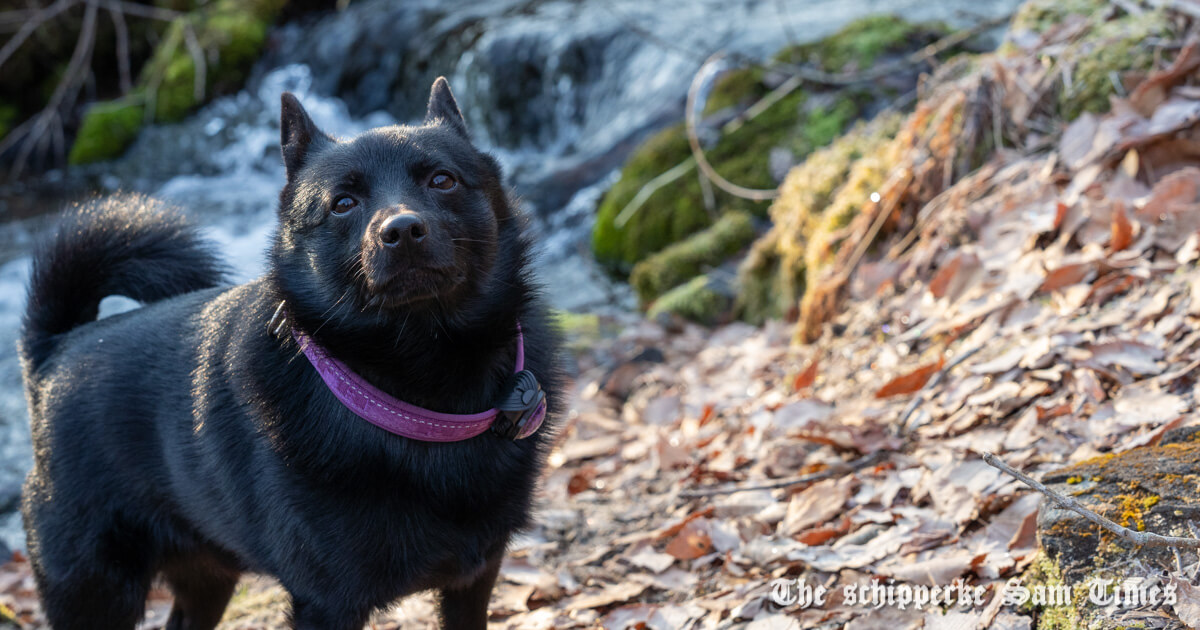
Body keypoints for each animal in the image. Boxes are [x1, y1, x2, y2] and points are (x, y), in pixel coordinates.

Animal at [18, 79, 559, 628]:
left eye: (442, 179)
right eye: (342, 203)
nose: (402, 230)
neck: (422, 394)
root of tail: (55, 352)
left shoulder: (474, 579)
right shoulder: (326, 604)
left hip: (206, 579)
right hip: (94, 592)